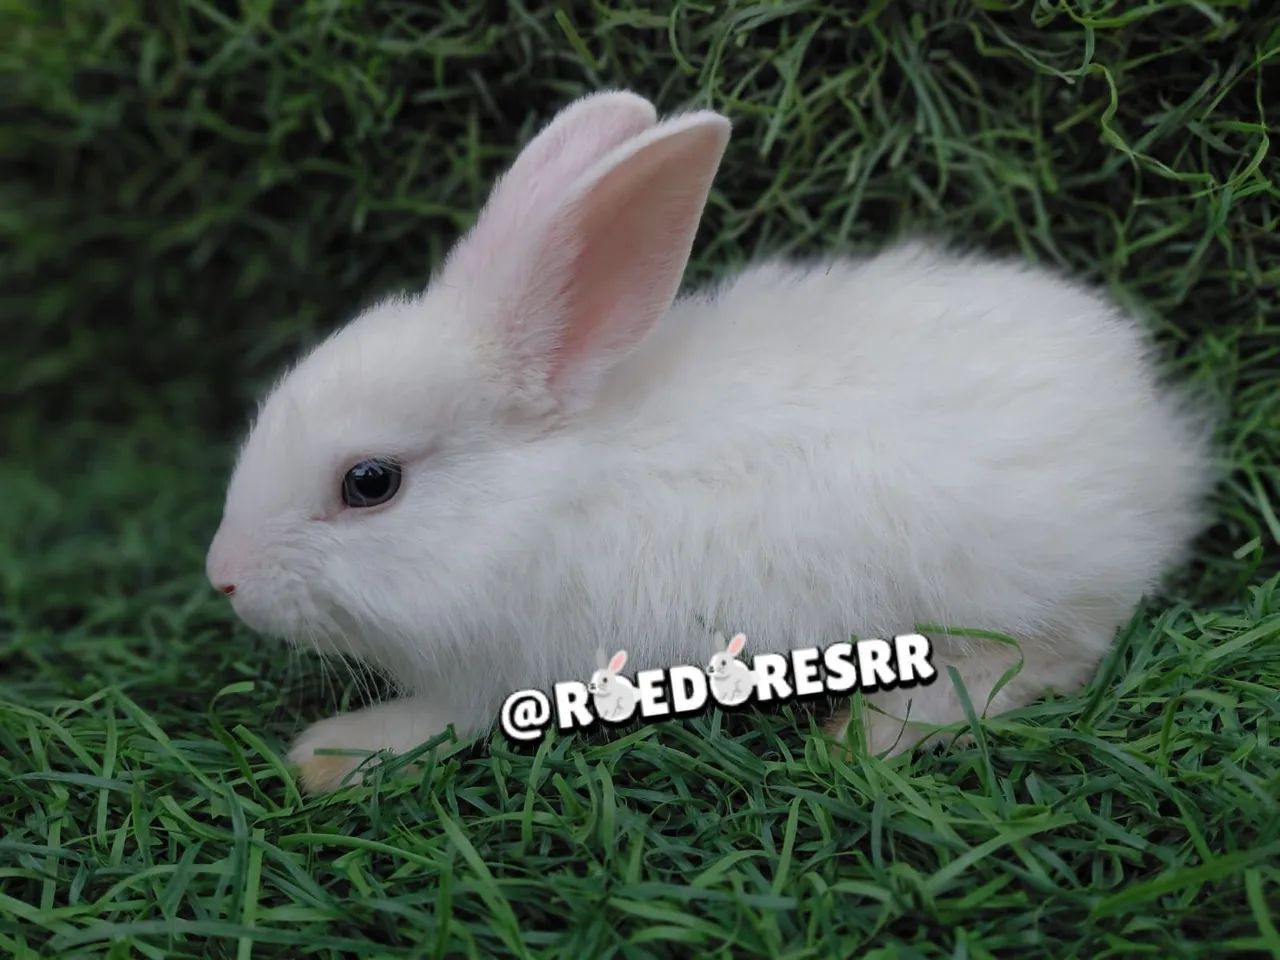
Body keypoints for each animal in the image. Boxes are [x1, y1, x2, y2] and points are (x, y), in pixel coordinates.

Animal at [205, 89, 1212, 794]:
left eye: (370, 482)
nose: (225, 578)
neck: (542, 496)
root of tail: (1160, 442)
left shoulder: (502, 671)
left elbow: (440, 720)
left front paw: (331, 756)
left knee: (1054, 655)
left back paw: (875, 729)